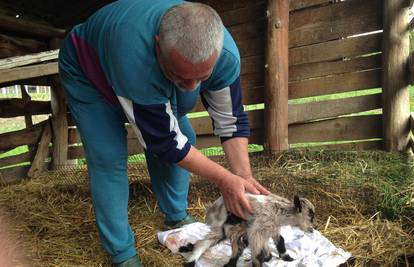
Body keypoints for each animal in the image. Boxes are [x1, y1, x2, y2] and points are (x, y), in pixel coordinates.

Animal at [179, 194, 316, 266]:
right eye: (310, 215)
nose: (313, 229)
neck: (278, 212)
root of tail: (212, 208)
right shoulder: (257, 230)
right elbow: (258, 254)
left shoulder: (271, 229)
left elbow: (280, 242)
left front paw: (287, 258)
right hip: (224, 226)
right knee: (205, 243)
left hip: (229, 229)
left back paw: (187, 248)